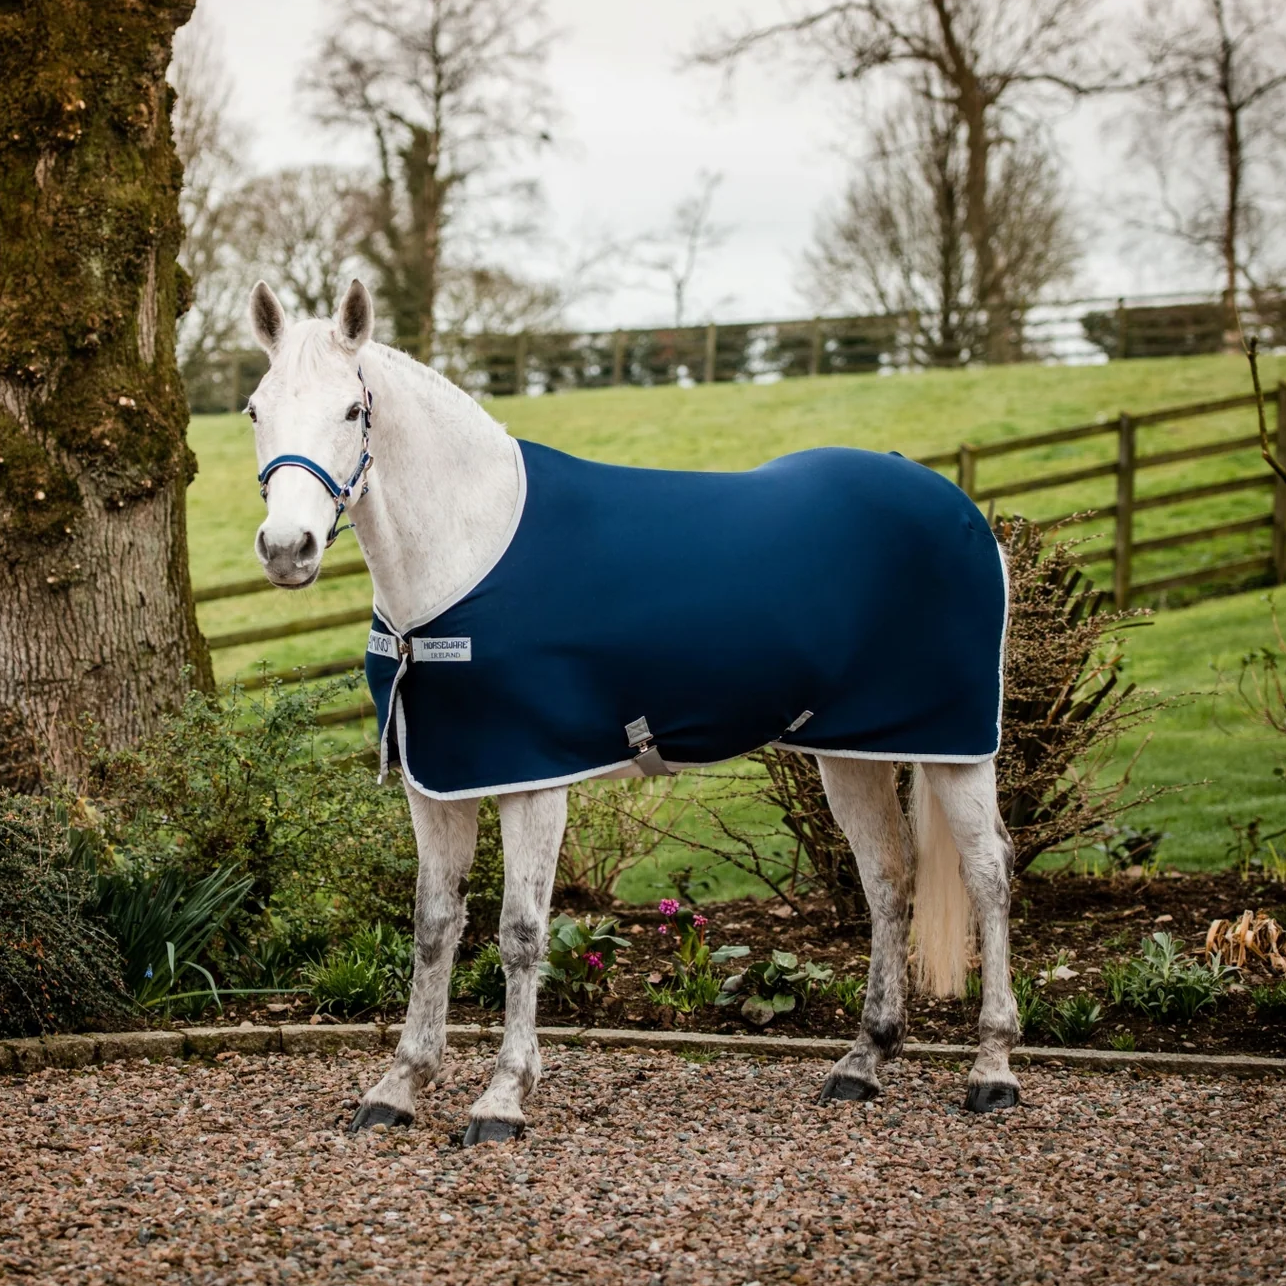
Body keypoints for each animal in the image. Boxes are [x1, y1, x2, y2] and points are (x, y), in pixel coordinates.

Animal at [245, 278, 1021, 1144]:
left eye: (353, 409)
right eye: (255, 409)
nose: (287, 548)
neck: (466, 552)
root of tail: (952, 504)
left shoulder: (532, 780)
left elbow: (520, 934)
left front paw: (502, 1097)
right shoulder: (436, 782)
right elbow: (435, 925)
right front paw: (399, 1085)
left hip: (958, 746)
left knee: (989, 872)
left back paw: (993, 1068)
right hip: (851, 751)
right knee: (887, 877)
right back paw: (865, 1061)